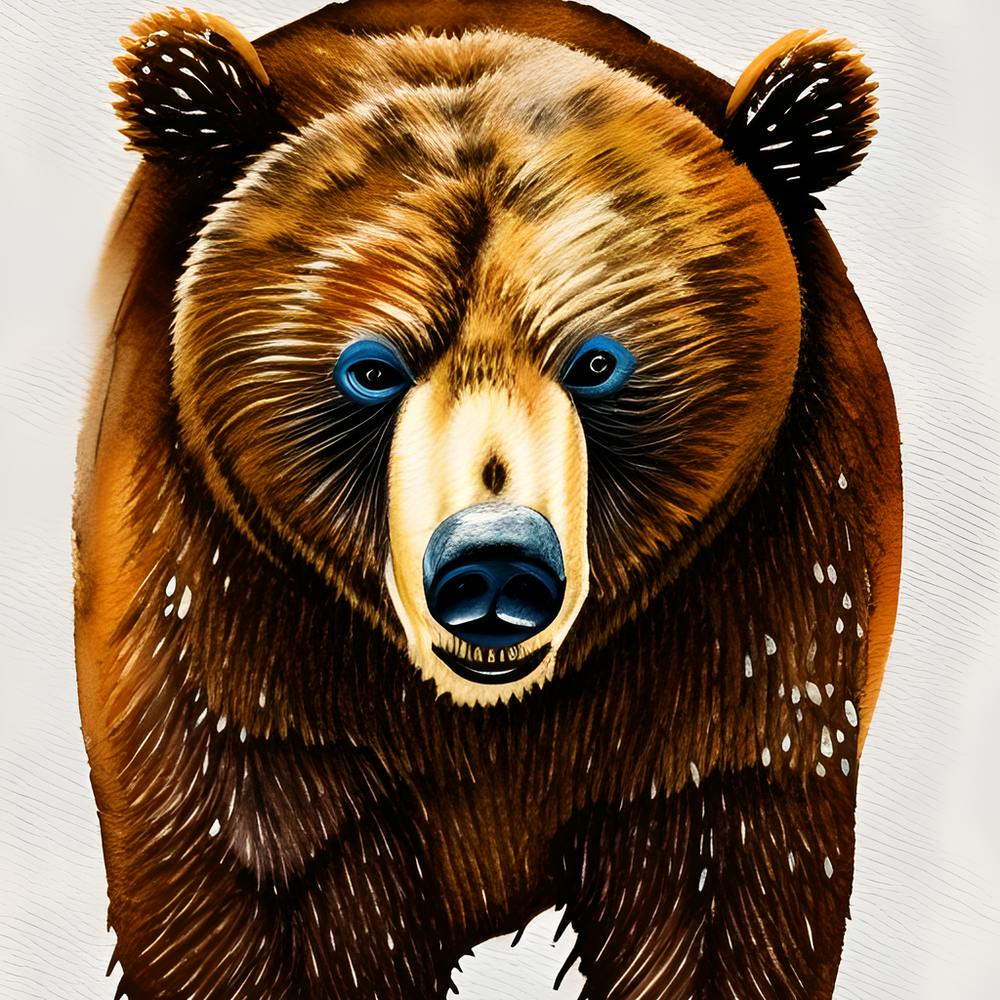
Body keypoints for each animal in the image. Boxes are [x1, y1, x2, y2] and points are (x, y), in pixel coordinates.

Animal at [74, 1, 902, 997]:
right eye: (371, 367)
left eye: (598, 361)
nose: (496, 564)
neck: (485, 715)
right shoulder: (234, 634)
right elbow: (261, 880)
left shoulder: (750, 621)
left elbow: (724, 883)